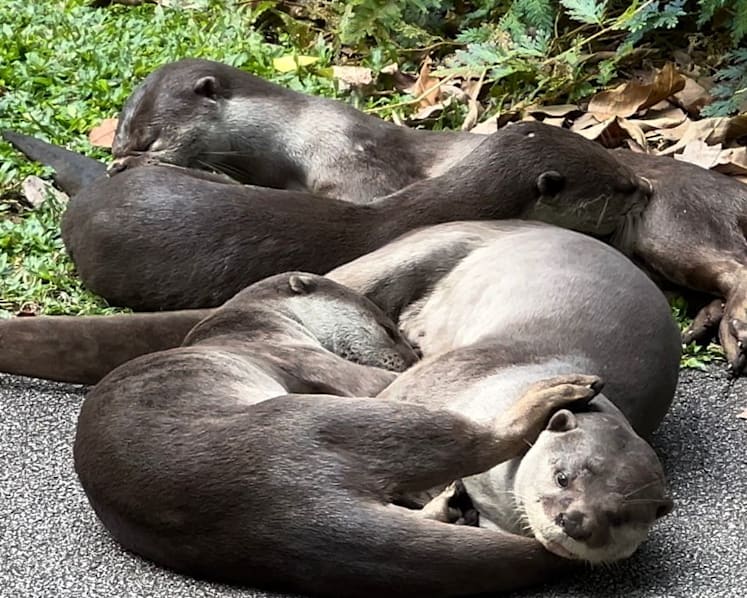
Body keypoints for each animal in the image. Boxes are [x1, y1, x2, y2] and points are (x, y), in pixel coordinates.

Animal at [73, 270, 600, 596]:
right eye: (389, 329)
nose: (410, 356)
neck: (248, 321)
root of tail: (271, 508)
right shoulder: (304, 356)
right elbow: (373, 381)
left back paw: (448, 506)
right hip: (339, 421)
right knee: (478, 438)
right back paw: (560, 390)